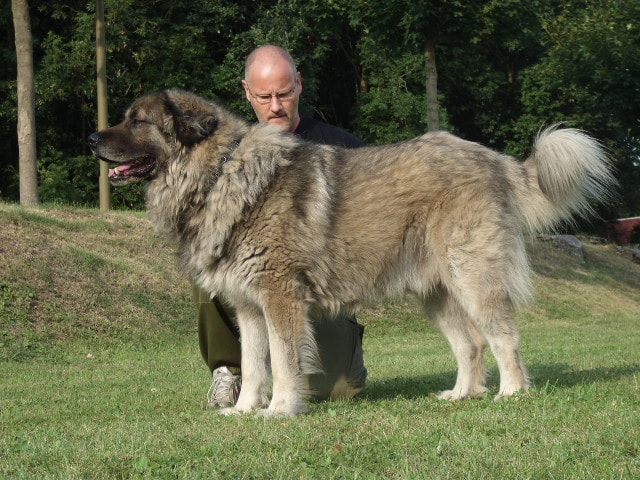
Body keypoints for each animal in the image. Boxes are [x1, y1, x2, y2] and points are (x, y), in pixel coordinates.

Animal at [89, 89, 616, 416]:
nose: (92, 136)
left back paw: (510, 394)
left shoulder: (280, 298)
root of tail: (490, 157)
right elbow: (254, 365)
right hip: (436, 293)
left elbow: (283, 362)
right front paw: (242, 410)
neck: (220, 172)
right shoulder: (249, 306)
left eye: (137, 121)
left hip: (474, 277)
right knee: (470, 344)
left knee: (503, 337)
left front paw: (280, 410)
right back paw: (461, 395)